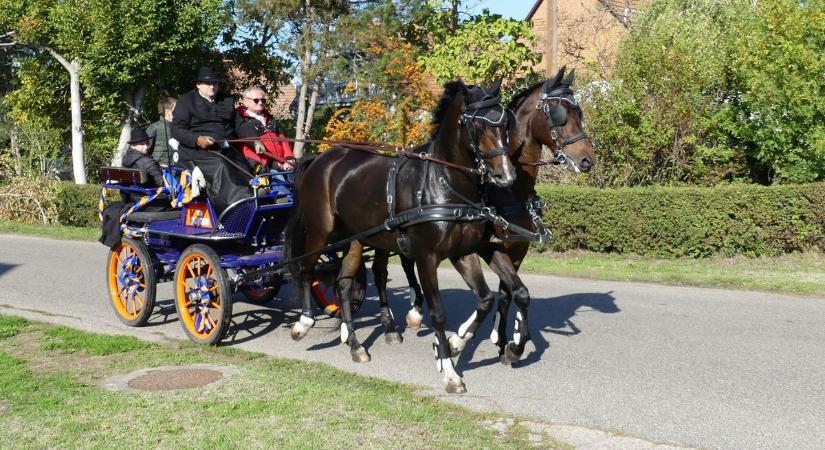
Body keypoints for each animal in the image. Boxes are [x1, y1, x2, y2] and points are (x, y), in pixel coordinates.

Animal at [286, 81, 512, 394]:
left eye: (504, 122)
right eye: (477, 124)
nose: (505, 176)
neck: (442, 183)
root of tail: (320, 158)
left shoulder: (462, 254)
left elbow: (485, 300)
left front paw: (455, 343)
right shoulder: (426, 259)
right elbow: (437, 313)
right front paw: (449, 371)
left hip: (355, 239)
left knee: (343, 284)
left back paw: (354, 344)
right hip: (320, 231)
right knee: (307, 270)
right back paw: (303, 322)